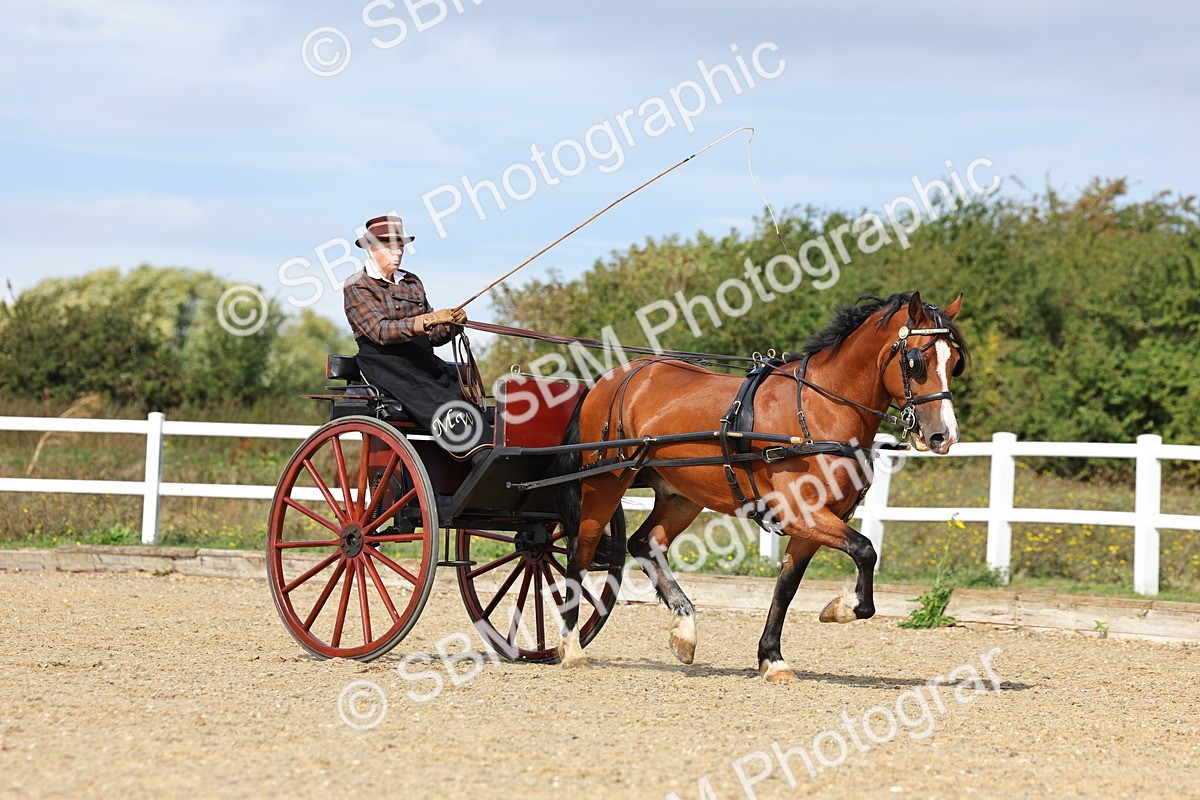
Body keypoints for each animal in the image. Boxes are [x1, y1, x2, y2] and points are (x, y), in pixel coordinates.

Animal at [552, 291, 968, 682]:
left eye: (954, 362)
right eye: (916, 361)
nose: (943, 436)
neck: (819, 409)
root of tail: (612, 378)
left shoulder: (815, 522)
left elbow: (787, 586)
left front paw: (773, 658)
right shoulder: (803, 513)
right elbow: (865, 550)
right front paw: (841, 609)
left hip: (681, 495)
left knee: (645, 544)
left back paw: (684, 630)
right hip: (604, 483)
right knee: (580, 554)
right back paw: (571, 647)